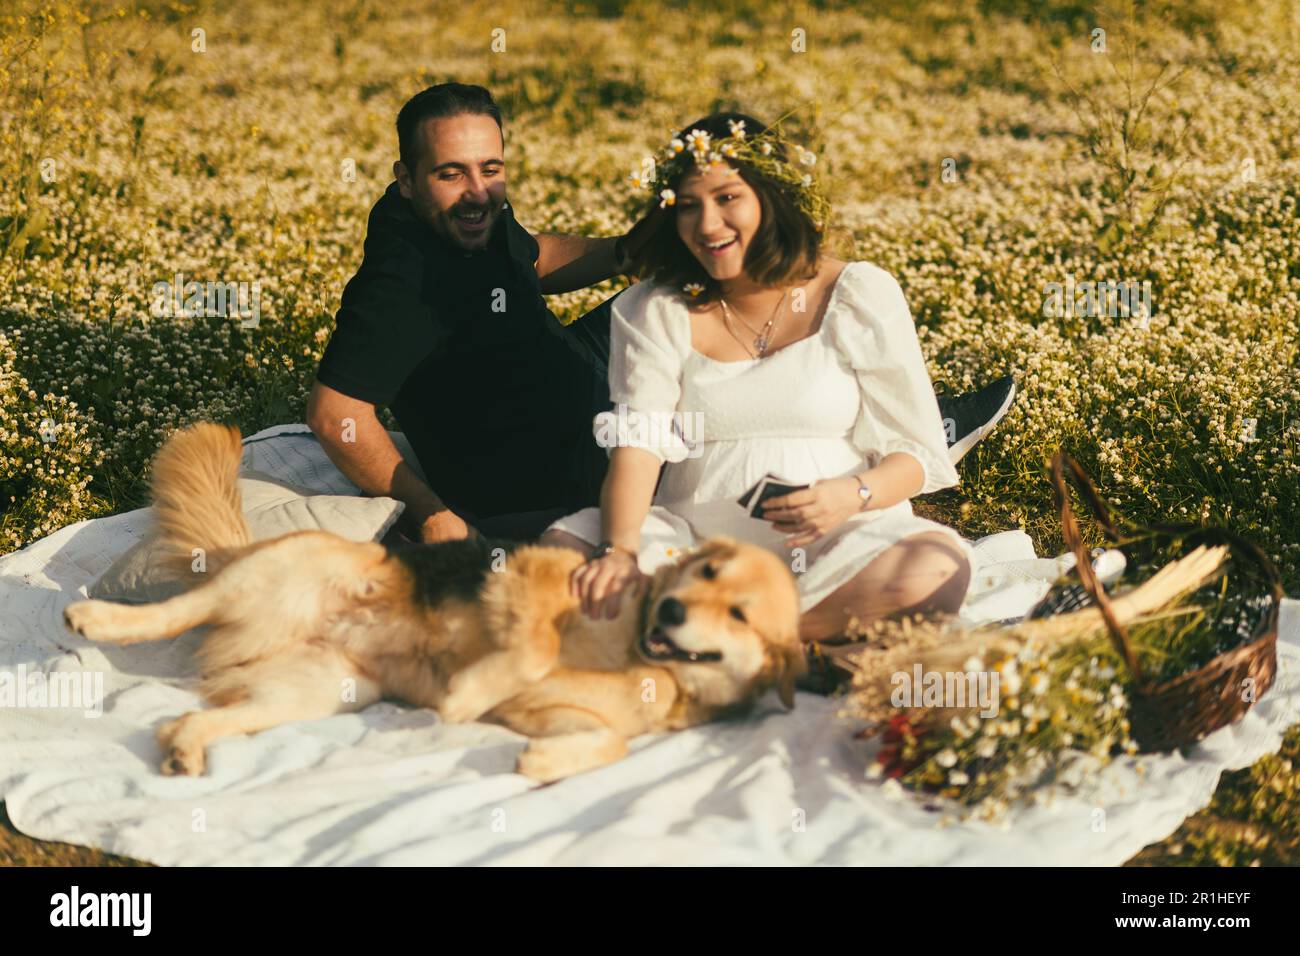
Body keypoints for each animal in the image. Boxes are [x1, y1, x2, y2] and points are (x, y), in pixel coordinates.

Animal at [68, 424, 811, 780]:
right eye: (703, 570)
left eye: (740, 612)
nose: (672, 613)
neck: (647, 662)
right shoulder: (530, 580)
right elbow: (533, 647)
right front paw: (466, 693)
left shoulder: (556, 717)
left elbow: (610, 743)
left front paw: (544, 765)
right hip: (290, 569)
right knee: (176, 610)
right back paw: (95, 616)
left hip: (319, 692)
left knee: (192, 718)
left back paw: (185, 747)